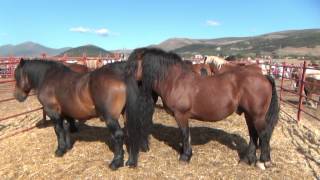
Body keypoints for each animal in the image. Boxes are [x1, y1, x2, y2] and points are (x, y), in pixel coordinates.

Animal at [14, 58, 150, 169]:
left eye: (16, 76)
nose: (17, 96)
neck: (48, 77)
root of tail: (121, 74)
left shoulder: (53, 112)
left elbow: (58, 130)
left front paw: (60, 150)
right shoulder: (66, 112)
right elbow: (66, 128)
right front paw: (67, 147)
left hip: (110, 117)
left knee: (118, 135)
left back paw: (116, 163)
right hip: (126, 113)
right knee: (130, 132)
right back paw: (131, 162)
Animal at [126, 47, 278, 170]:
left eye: (133, 63)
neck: (175, 81)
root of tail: (264, 76)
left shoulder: (181, 115)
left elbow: (185, 134)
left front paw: (185, 156)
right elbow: (185, 135)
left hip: (257, 116)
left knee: (263, 135)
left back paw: (264, 162)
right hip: (249, 115)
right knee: (253, 135)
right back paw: (247, 160)